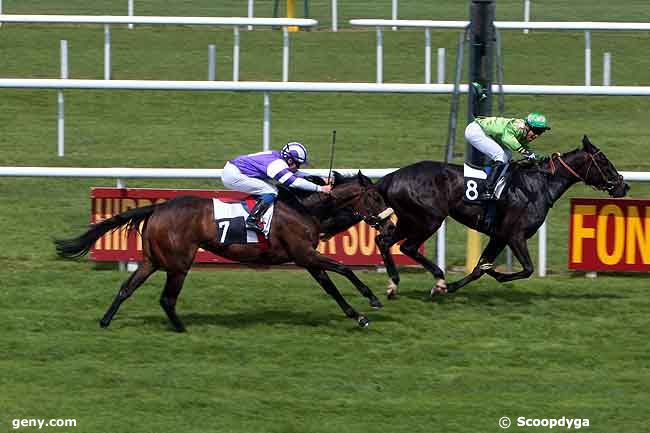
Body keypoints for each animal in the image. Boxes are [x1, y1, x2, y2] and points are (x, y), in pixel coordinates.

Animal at [53, 170, 392, 330]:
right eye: (375, 196)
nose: (390, 225)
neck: (305, 209)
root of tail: (158, 207)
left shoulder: (307, 259)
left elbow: (331, 287)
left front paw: (357, 316)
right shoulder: (304, 254)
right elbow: (344, 269)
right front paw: (372, 299)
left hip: (153, 259)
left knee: (127, 288)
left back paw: (105, 321)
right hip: (179, 263)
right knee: (167, 298)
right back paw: (181, 328)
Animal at [374, 135, 628, 296]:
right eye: (603, 160)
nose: (623, 186)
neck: (539, 184)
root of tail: (391, 177)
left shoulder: (498, 236)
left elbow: (478, 269)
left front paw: (451, 287)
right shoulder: (515, 235)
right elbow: (527, 269)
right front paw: (496, 274)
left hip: (408, 219)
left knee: (383, 241)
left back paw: (394, 285)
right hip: (428, 219)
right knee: (407, 247)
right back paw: (435, 276)